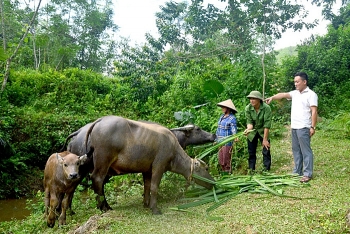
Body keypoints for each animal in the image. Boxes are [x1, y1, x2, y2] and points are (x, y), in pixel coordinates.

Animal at [85, 116, 216, 215]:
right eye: (206, 168)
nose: (214, 182)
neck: (173, 147)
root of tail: (100, 121)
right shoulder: (159, 166)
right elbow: (154, 187)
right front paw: (155, 208)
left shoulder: (147, 170)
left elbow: (147, 186)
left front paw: (146, 204)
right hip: (103, 161)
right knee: (97, 179)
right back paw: (103, 207)